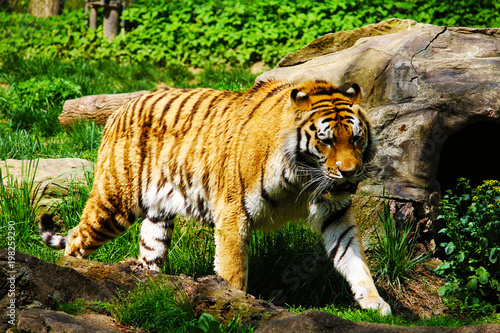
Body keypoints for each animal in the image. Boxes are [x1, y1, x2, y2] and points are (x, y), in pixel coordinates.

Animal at [40, 79, 390, 312]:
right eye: (327, 141)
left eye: (356, 138)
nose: (350, 172)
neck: (301, 179)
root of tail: (122, 107)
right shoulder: (234, 212)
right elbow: (233, 268)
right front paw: (236, 305)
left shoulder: (335, 213)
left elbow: (354, 259)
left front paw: (375, 302)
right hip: (114, 202)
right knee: (76, 237)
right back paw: (74, 274)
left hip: (157, 216)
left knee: (149, 253)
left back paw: (150, 288)